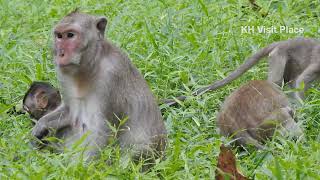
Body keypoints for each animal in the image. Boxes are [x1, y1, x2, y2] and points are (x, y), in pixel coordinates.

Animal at [31, 11, 168, 162]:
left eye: (71, 35)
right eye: (59, 36)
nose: (60, 53)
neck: (88, 68)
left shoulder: (112, 75)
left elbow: (103, 130)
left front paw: (79, 166)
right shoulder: (62, 74)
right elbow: (69, 112)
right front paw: (41, 126)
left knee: (137, 151)